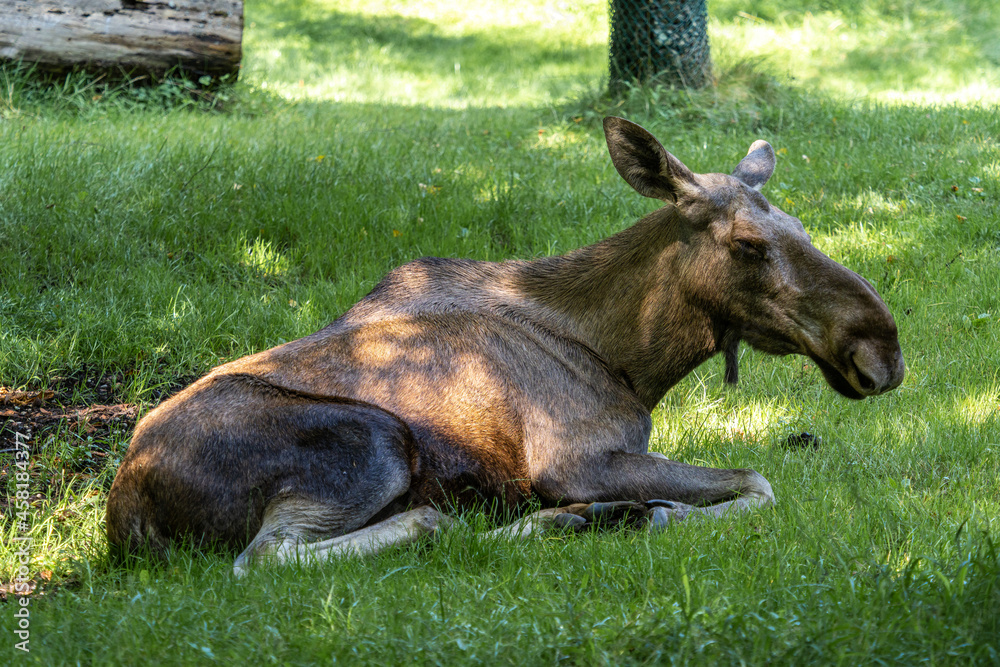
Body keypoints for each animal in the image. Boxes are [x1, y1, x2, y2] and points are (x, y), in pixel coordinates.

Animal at [106, 117, 905, 575]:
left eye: (799, 227)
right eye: (747, 244)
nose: (883, 352)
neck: (632, 360)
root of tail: (123, 518)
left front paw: (643, 509)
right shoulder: (578, 458)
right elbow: (759, 482)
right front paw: (664, 511)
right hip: (372, 439)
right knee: (286, 555)